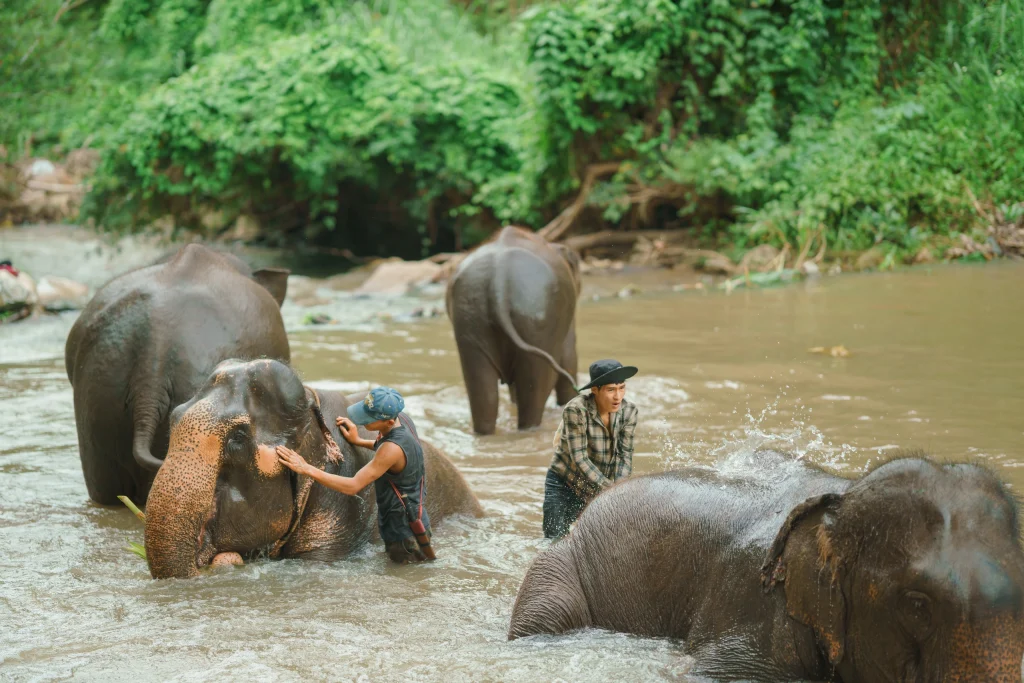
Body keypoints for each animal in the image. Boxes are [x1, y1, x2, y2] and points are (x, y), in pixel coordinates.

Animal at [446, 227, 581, 436]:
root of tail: (499, 282)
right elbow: (569, 358)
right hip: (539, 321)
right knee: (536, 390)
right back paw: (529, 428)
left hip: (469, 320)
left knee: (483, 392)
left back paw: (485, 433)